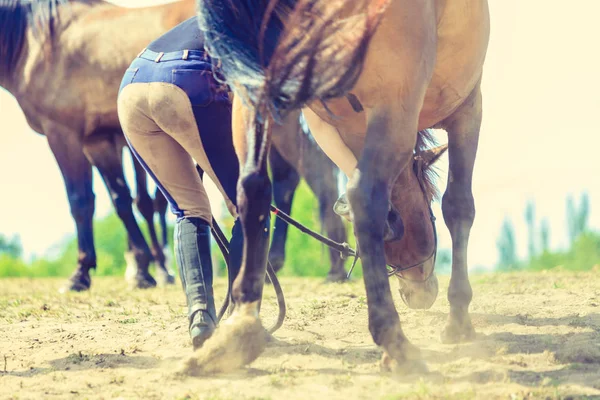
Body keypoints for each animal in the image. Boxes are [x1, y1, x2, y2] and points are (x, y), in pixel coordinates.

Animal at [190, 0, 490, 374]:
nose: (420, 295)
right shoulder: (467, 108)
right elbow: (459, 207)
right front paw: (459, 320)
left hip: (251, 98)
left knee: (253, 187)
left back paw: (238, 331)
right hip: (396, 99)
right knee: (366, 196)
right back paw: (395, 343)